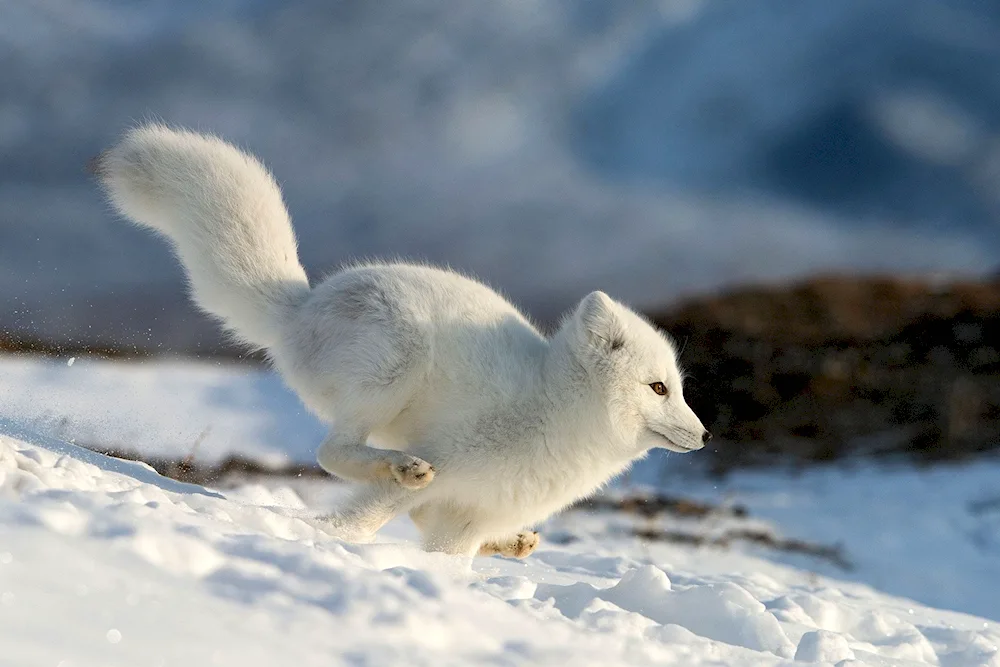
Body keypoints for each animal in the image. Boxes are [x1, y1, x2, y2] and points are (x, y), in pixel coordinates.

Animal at [97, 125, 712, 560]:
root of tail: (301, 305)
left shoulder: (469, 516)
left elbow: (449, 554)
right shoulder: (454, 460)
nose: (705, 435)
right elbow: (366, 517)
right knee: (333, 452)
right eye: (658, 388)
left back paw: (512, 543)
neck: (554, 412)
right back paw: (401, 467)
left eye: (678, 388)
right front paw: (332, 541)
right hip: (397, 364)